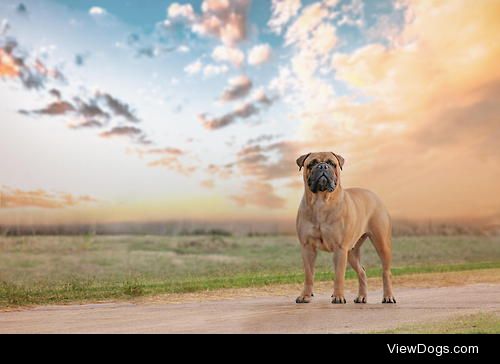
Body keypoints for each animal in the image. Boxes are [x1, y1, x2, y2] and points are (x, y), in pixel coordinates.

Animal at [294, 151, 396, 304]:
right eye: (312, 163)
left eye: (332, 163)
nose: (322, 166)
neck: (321, 201)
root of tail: (374, 195)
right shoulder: (307, 247)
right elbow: (309, 274)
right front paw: (305, 295)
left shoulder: (340, 248)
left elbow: (339, 275)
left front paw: (338, 296)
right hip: (351, 251)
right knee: (362, 271)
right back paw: (361, 297)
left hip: (381, 243)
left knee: (386, 272)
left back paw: (388, 296)